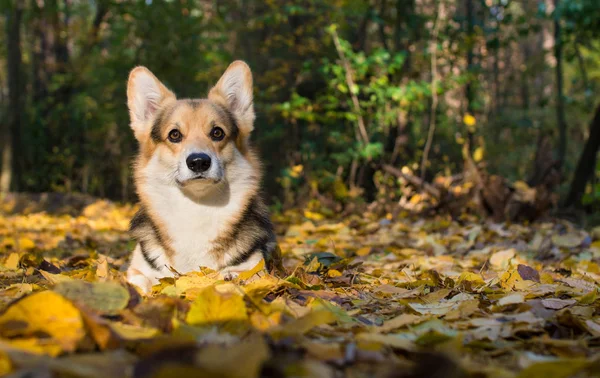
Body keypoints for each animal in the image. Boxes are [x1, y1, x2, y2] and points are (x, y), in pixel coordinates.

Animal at [126, 61, 276, 292]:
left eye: (217, 133)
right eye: (174, 135)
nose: (198, 162)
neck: (196, 206)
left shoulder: (255, 269)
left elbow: (239, 276)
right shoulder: (138, 270)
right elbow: (139, 283)